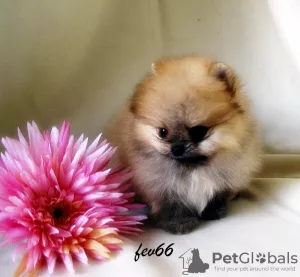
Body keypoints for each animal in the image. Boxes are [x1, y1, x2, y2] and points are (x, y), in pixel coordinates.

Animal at [109, 55, 262, 233]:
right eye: (163, 132)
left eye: (198, 131)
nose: (176, 148)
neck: (193, 167)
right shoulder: (162, 185)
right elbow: (173, 205)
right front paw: (179, 223)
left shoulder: (226, 175)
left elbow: (218, 194)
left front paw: (214, 211)